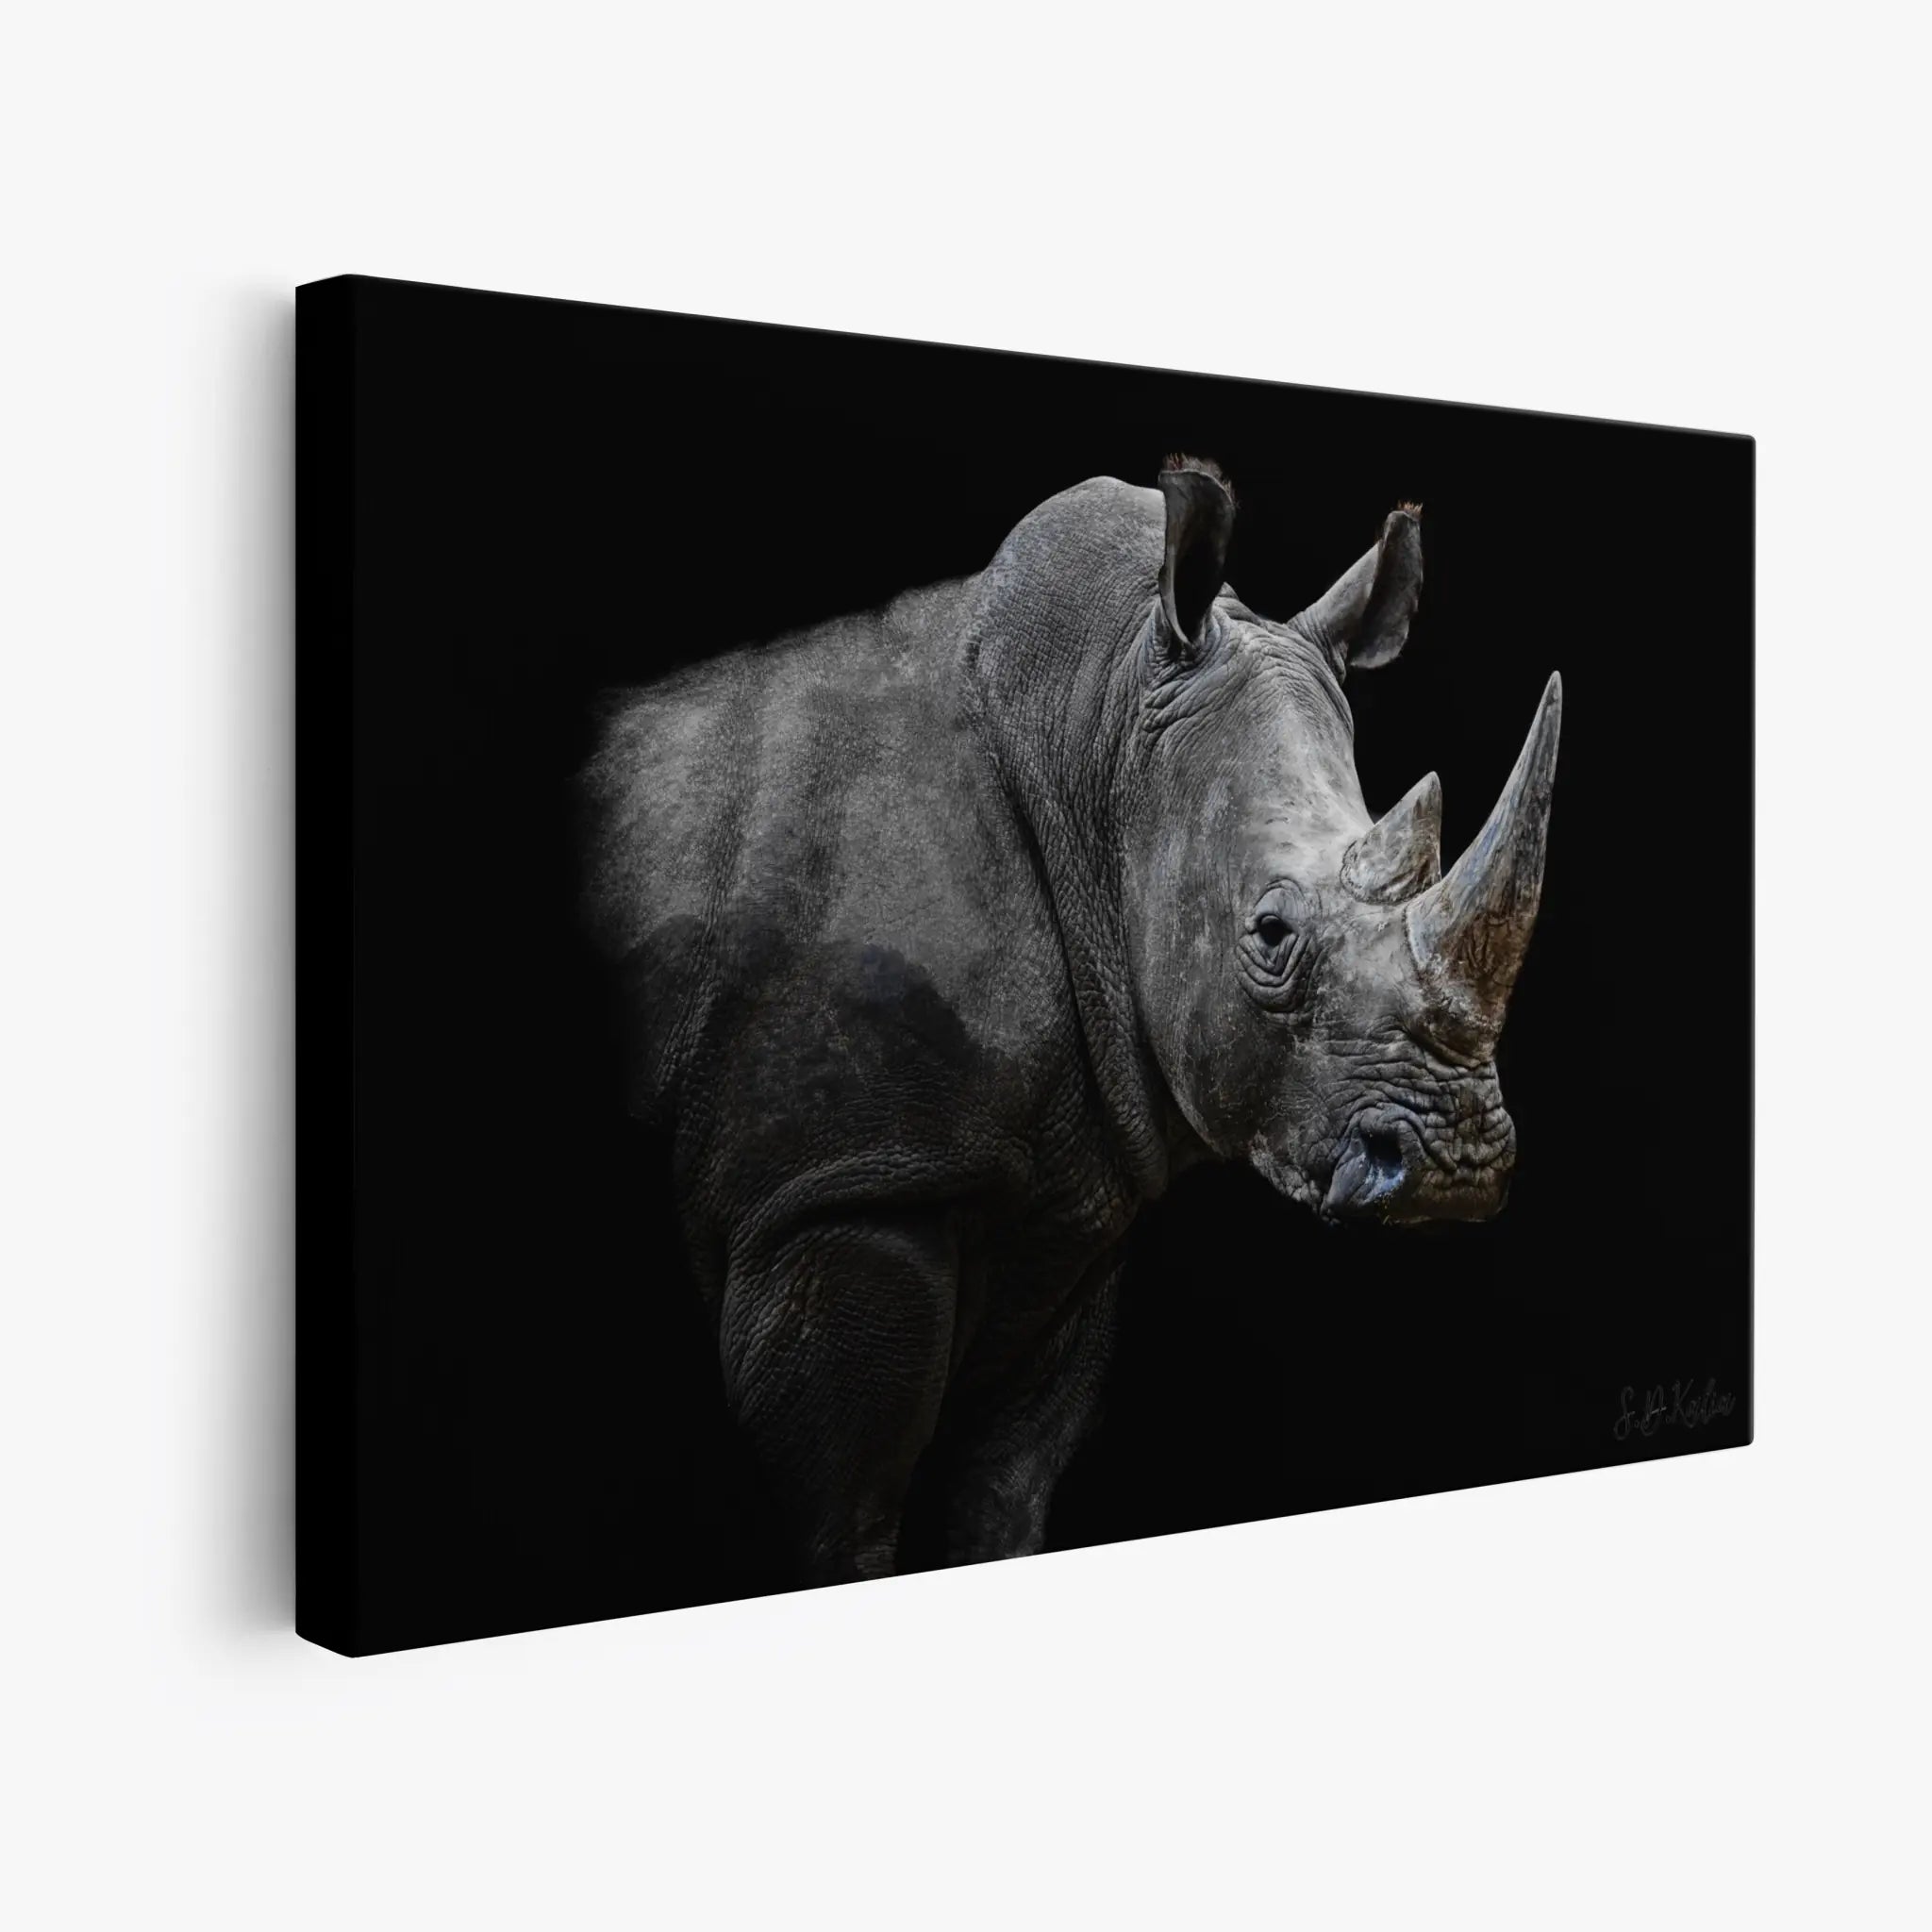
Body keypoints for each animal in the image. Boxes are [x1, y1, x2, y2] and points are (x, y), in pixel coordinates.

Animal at [581, 459, 1560, 1584]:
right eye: (1270, 933)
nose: (1456, 1167)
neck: (1098, 746)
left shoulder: (1068, 1202)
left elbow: (1006, 1488)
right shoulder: (837, 1190)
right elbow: (847, 1510)